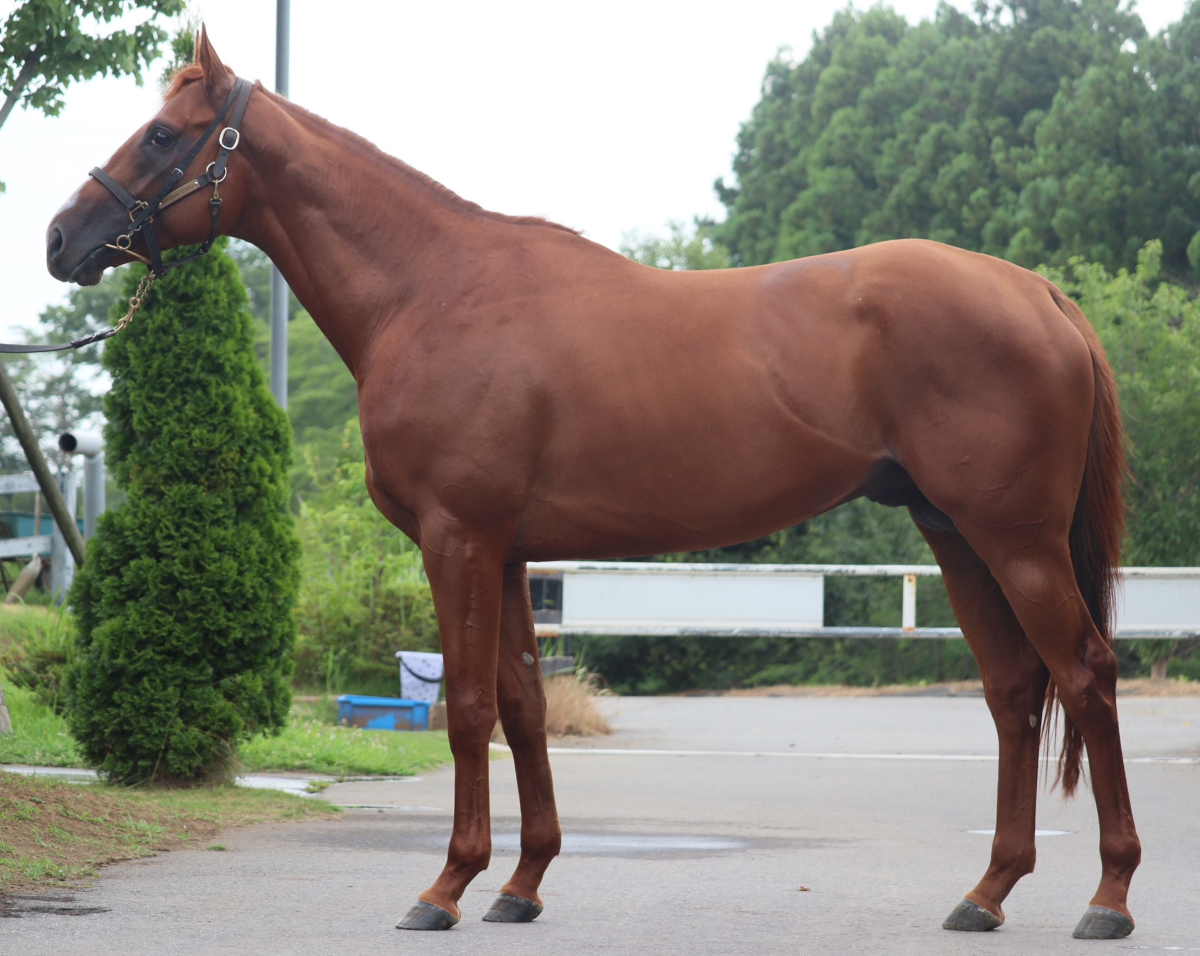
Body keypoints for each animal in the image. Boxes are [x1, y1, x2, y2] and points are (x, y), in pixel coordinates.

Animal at [45, 28, 1140, 940]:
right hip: (956, 534)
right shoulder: (509, 552)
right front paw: (521, 884)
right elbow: (525, 705)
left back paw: (1109, 896)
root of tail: (1037, 291)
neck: (432, 291)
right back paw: (986, 893)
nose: (59, 239)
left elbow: (469, 710)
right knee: (1014, 689)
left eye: (160, 135)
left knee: (1084, 673)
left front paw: (444, 887)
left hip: (1015, 539)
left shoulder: (458, 538)